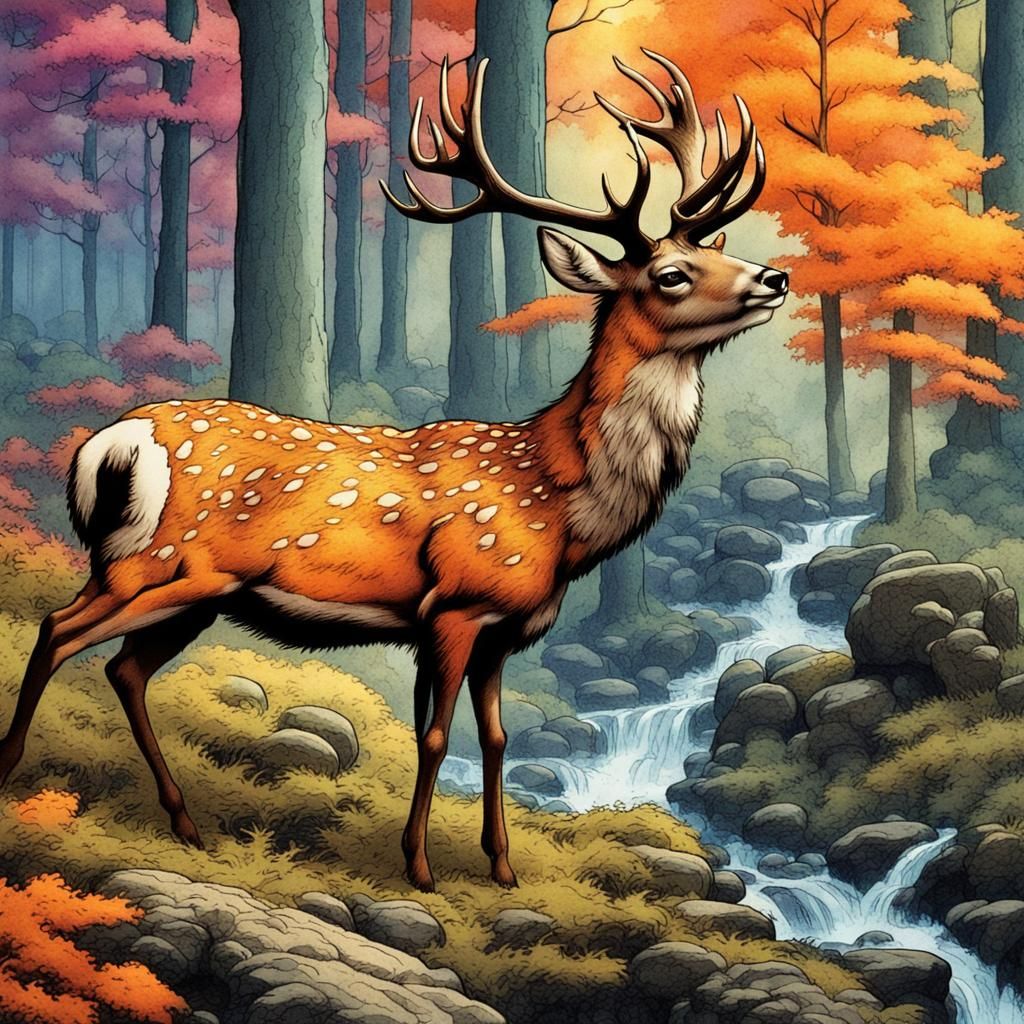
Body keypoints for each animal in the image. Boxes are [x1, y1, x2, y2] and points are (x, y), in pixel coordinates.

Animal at [0, 50, 786, 893]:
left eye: (717, 251)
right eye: (671, 274)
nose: (773, 279)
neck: (558, 507)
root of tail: (115, 440)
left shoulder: (502, 632)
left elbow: (497, 739)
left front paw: (502, 868)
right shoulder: (456, 605)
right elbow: (437, 736)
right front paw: (419, 867)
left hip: (190, 590)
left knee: (123, 668)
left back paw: (185, 822)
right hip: (159, 562)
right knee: (59, 629)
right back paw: (13, 769)